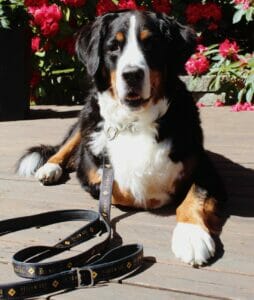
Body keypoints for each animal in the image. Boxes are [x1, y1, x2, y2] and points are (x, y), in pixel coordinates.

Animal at [16, 10, 227, 266]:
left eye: (151, 44)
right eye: (113, 46)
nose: (132, 75)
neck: (134, 122)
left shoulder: (206, 169)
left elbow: (194, 196)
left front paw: (191, 236)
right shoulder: (94, 174)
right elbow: (122, 191)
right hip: (86, 116)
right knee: (65, 146)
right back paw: (50, 168)